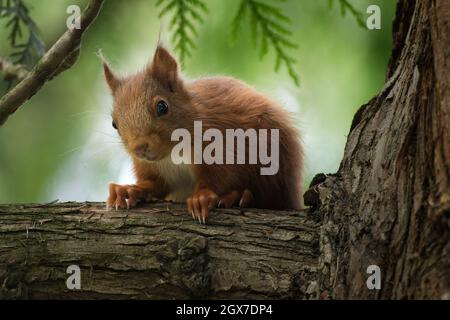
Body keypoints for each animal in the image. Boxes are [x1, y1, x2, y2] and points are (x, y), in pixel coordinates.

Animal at [103, 46, 302, 224]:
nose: (139, 149)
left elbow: (218, 176)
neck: (172, 154)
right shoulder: (153, 169)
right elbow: (154, 185)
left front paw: (201, 196)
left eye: (162, 106)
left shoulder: (222, 143)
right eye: (114, 124)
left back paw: (240, 196)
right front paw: (129, 190)